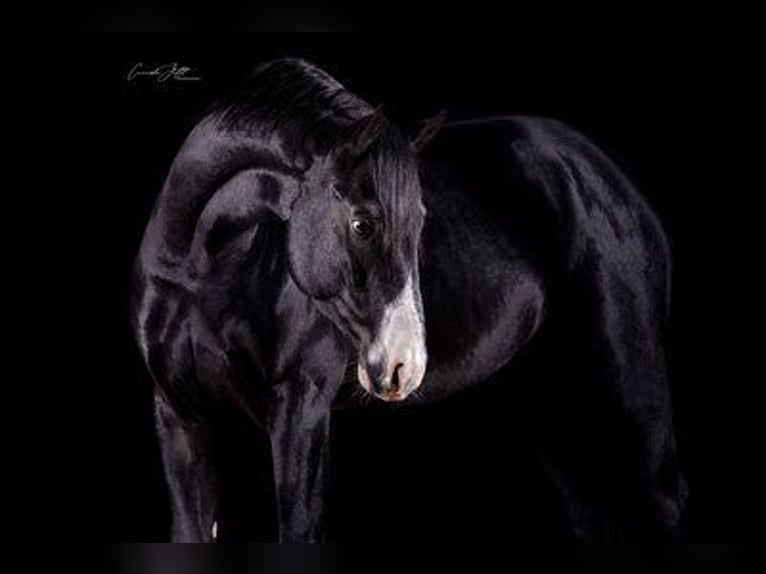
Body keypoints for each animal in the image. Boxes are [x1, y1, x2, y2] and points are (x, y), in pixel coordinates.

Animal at [130, 58, 687, 541]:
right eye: (362, 224)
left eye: (420, 223)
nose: (405, 364)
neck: (202, 270)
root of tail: (612, 183)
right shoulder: (180, 415)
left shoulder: (300, 411)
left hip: (626, 384)